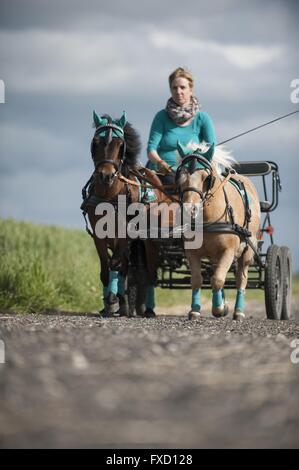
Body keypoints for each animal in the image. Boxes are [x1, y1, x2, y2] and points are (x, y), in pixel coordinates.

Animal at [82, 111, 176, 316]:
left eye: (120, 145)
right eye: (96, 142)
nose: (106, 175)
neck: (110, 195)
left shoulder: (125, 233)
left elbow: (115, 264)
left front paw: (112, 299)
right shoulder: (99, 235)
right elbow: (105, 269)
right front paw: (109, 303)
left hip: (150, 238)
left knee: (149, 271)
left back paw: (147, 309)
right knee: (127, 267)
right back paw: (125, 304)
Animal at [177, 141, 262, 322]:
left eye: (206, 178)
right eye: (180, 175)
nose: (189, 209)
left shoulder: (229, 251)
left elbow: (217, 279)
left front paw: (218, 308)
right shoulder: (192, 252)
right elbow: (197, 280)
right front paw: (195, 310)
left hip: (248, 249)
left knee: (241, 279)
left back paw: (238, 312)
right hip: (215, 255)